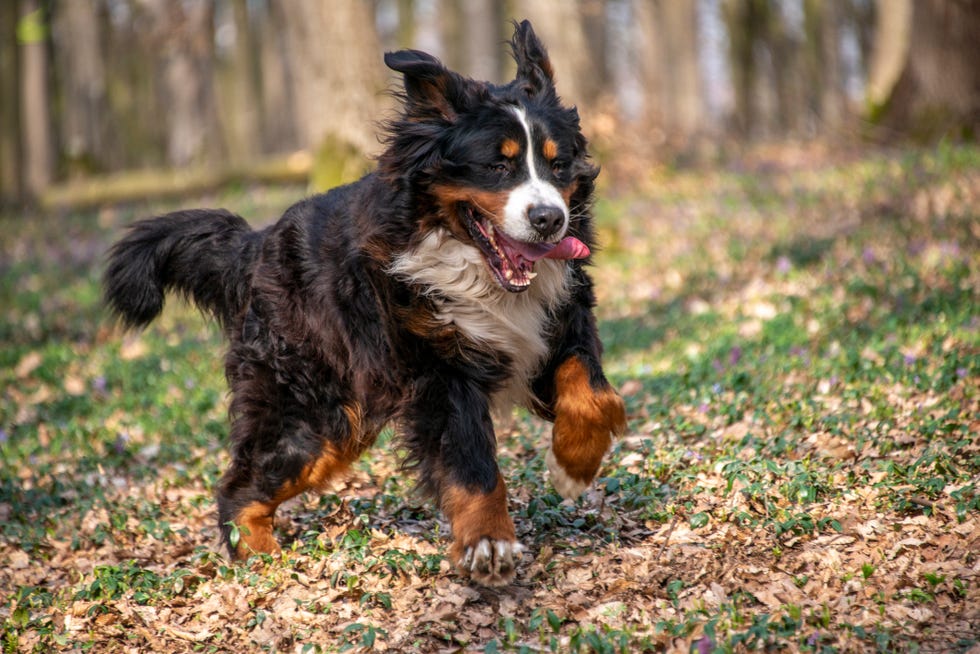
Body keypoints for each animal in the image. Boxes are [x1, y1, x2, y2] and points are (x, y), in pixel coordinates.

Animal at [105, 20, 628, 588]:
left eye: (558, 165)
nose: (550, 220)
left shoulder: (561, 319)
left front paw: (573, 466)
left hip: (339, 424)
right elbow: (471, 464)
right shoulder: (438, 372)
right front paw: (489, 543)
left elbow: (594, 393)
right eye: (497, 165)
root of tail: (255, 244)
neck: (476, 272)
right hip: (306, 410)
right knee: (238, 487)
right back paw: (263, 563)